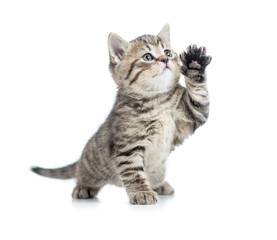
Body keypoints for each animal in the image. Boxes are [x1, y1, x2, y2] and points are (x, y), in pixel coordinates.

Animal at [31, 23, 210, 204]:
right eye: (147, 57)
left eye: (167, 52)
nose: (165, 59)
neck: (156, 99)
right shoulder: (128, 147)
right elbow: (134, 173)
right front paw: (141, 192)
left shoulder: (190, 116)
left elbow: (200, 99)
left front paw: (195, 64)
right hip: (92, 167)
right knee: (82, 175)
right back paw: (83, 187)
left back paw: (158, 184)